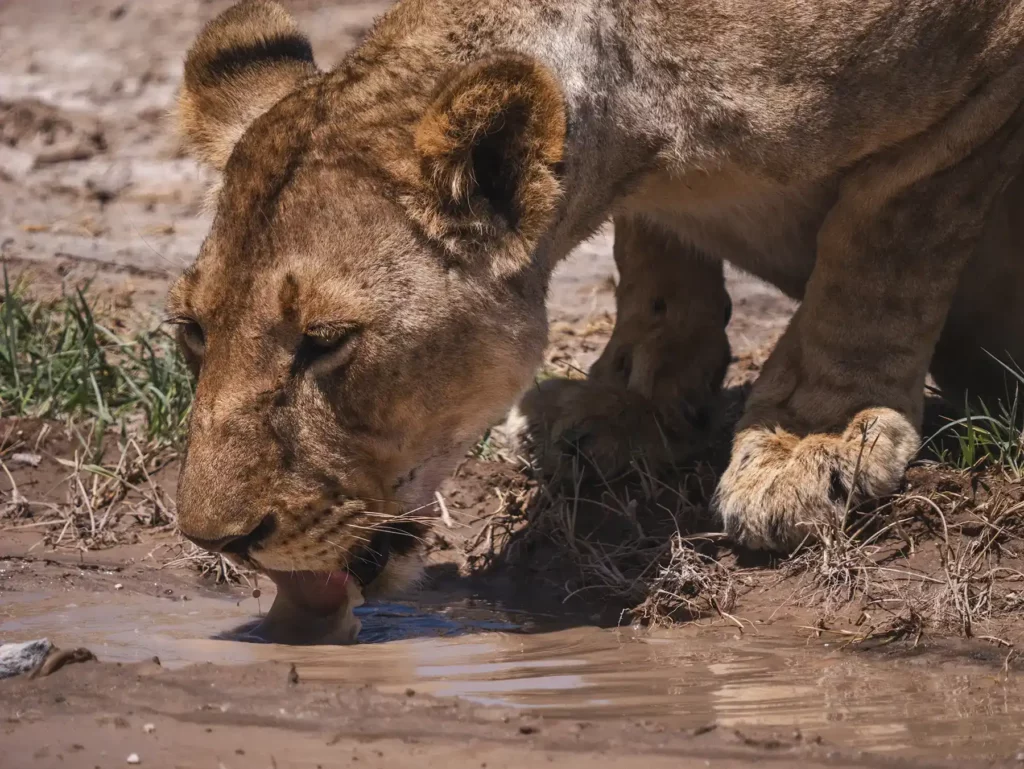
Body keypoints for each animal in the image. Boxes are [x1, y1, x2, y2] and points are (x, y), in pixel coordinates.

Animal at [169, 0, 1024, 616]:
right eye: (192, 332)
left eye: (324, 340)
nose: (218, 540)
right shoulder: (647, 203)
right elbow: (655, 267)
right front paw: (625, 405)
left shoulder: (967, 91)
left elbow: (876, 257)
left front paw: (814, 439)